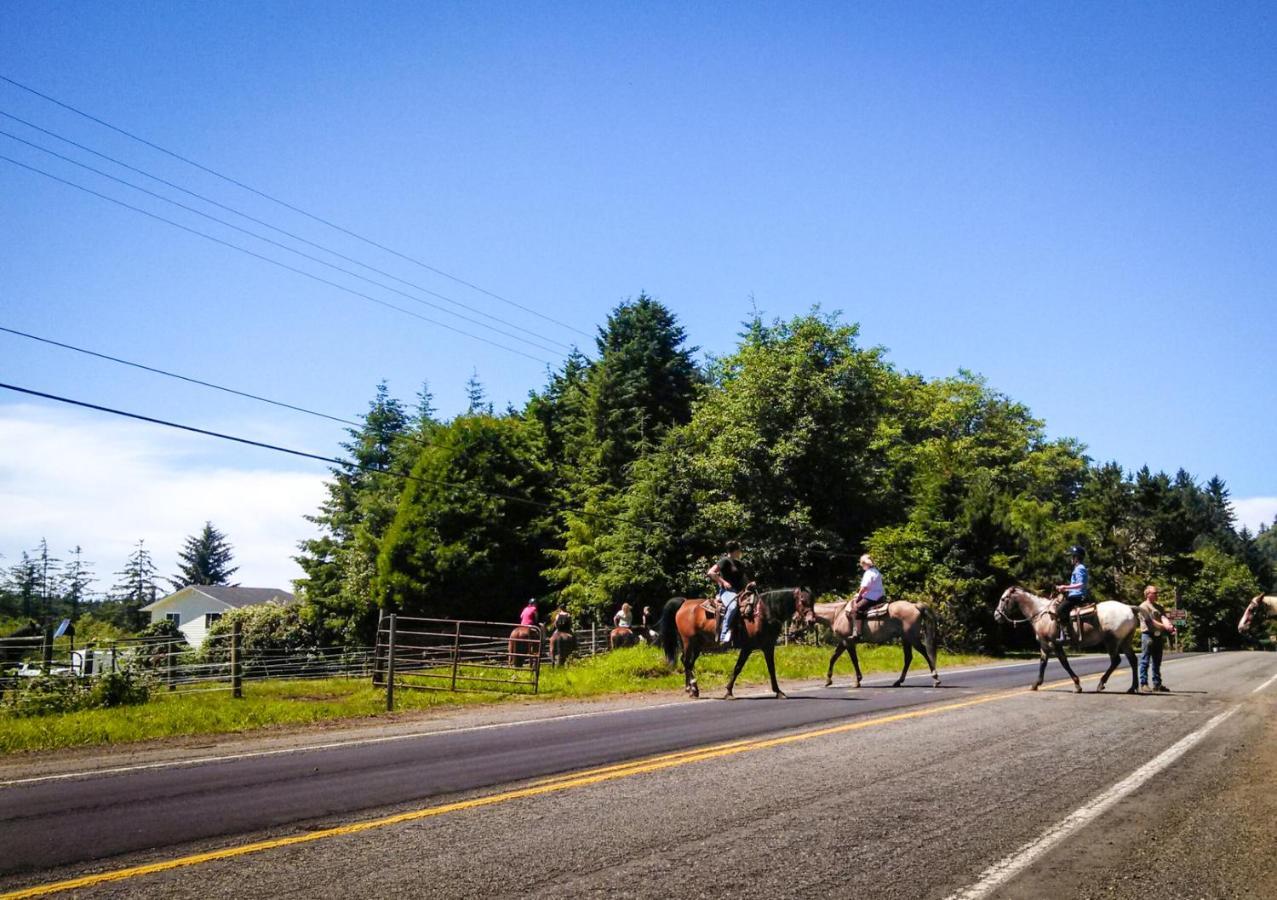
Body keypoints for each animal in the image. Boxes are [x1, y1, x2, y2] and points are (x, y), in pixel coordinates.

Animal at [658, 587, 817, 699]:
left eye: (813, 601)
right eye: (803, 601)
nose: (811, 621)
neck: (762, 614)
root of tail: (684, 602)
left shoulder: (768, 647)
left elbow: (771, 669)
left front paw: (778, 692)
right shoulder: (747, 647)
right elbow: (737, 668)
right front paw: (728, 692)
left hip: (698, 645)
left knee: (687, 662)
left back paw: (690, 689)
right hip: (688, 641)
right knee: (687, 662)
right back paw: (693, 689)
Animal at [812, 597, 944, 689]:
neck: (837, 614)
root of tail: (914, 605)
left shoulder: (848, 642)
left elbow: (853, 660)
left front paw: (857, 681)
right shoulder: (844, 642)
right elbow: (833, 658)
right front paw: (828, 680)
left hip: (912, 638)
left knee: (924, 653)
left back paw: (936, 679)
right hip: (905, 638)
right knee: (908, 658)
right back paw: (898, 681)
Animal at [996, 587, 1149, 689]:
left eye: (1003, 599)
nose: (996, 615)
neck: (1041, 614)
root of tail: (1129, 608)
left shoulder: (1054, 644)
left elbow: (1064, 662)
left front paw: (1077, 684)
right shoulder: (1044, 645)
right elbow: (1043, 663)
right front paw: (1035, 684)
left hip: (1112, 641)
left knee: (1116, 660)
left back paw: (1101, 683)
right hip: (1125, 641)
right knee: (1133, 660)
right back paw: (1132, 688)